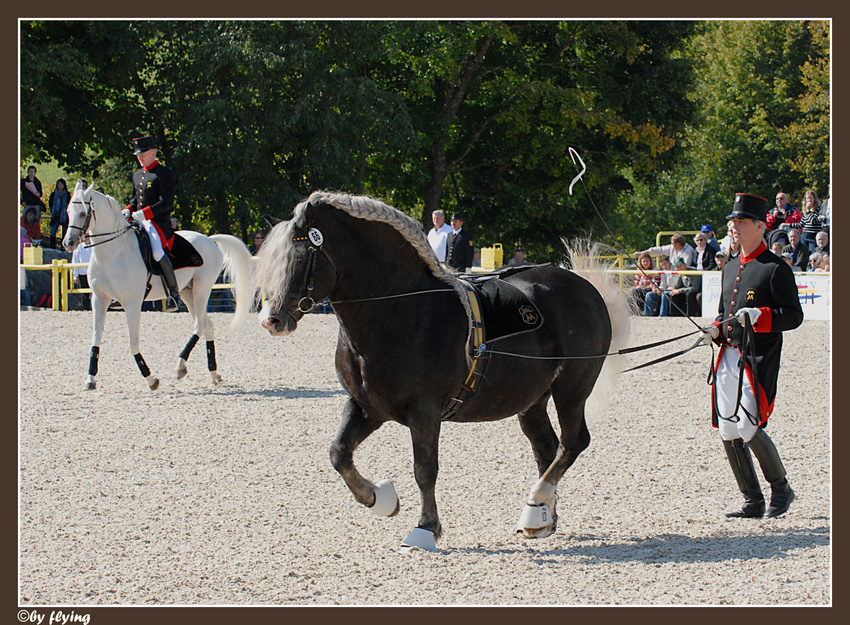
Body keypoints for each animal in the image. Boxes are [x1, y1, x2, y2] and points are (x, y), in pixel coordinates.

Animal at [63, 178, 255, 388]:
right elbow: (96, 338)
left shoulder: (132, 303)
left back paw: (180, 366)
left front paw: (150, 379)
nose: (68, 243)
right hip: (187, 293)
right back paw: (213, 374)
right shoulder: (99, 299)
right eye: (68, 211)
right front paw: (90, 379)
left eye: (83, 213)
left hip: (202, 290)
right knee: (206, 325)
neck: (113, 252)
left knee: (199, 325)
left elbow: (133, 343)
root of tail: (209, 239)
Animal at [256, 191, 628, 552]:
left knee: (573, 443)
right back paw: (540, 517)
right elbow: (339, 453)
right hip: (531, 400)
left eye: (299, 259)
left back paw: (536, 501)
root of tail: (585, 288)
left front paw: (425, 528)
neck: (399, 308)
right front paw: (380, 498)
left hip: (571, 389)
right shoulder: (367, 406)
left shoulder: (424, 411)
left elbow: (425, 469)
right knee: (546, 447)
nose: (271, 320)